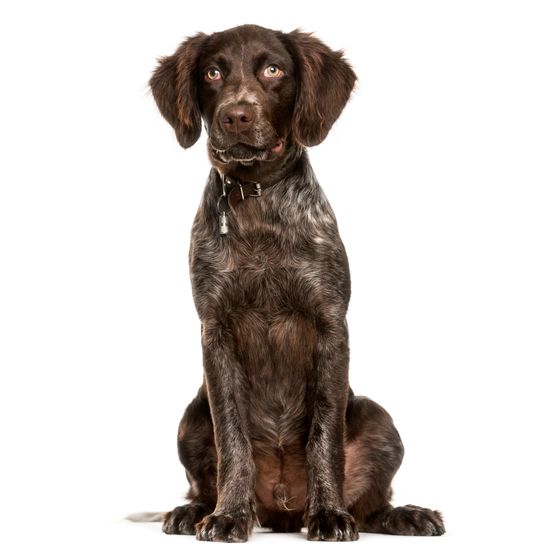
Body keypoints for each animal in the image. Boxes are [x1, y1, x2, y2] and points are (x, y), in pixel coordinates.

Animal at [147, 24, 444, 540]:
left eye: (273, 70)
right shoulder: (215, 332)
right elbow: (232, 439)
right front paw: (228, 514)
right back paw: (195, 510)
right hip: (191, 417)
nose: (236, 116)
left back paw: (405, 514)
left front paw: (327, 513)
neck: (258, 199)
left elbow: (325, 435)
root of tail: (281, 508)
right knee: (203, 479)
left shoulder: (330, 325)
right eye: (212, 73)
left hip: (378, 417)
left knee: (373, 503)